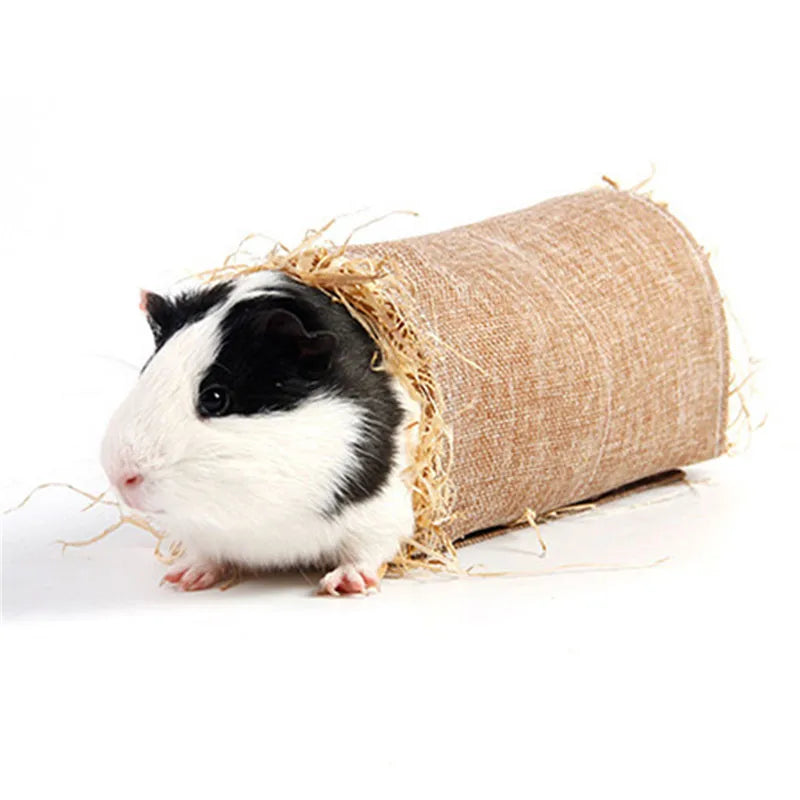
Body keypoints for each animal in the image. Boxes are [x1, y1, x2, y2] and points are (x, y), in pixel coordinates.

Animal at [100, 271, 417, 595]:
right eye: (146, 372)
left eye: (215, 398)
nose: (120, 476)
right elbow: (205, 554)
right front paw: (182, 578)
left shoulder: (382, 513)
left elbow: (369, 551)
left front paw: (344, 584)